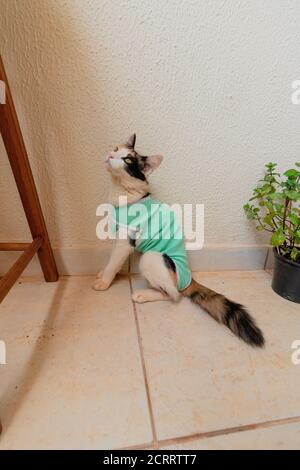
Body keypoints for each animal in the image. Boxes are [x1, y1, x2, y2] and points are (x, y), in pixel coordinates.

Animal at [94, 134, 264, 346]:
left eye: (127, 160)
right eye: (116, 149)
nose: (110, 155)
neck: (122, 190)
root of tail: (188, 277)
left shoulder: (126, 239)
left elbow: (114, 262)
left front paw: (104, 282)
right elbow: (113, 260)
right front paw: (103, 274)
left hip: (150, 257)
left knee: (174, 295)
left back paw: (143, 294)